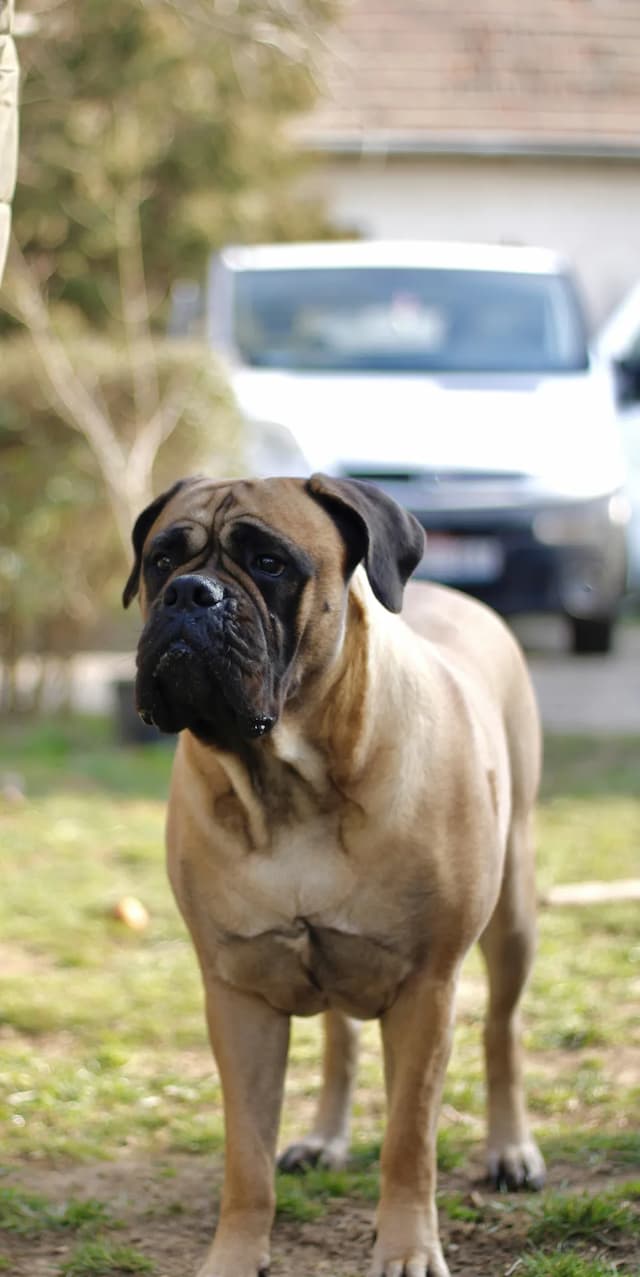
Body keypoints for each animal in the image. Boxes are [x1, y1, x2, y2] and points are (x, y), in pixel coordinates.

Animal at [123, 477, 544, 1277]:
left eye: (269, 562)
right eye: (162, 559)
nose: (192, 593)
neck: (289, 781)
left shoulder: (427, 990)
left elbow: (410, 1140)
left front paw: (406, 1249)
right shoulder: (239, 994)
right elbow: (245, 1156)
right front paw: (235, 1252)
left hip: (512, 912)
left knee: (503, 1032)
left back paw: (511, 1149)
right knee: (343, 1041)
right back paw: (324, 1137)